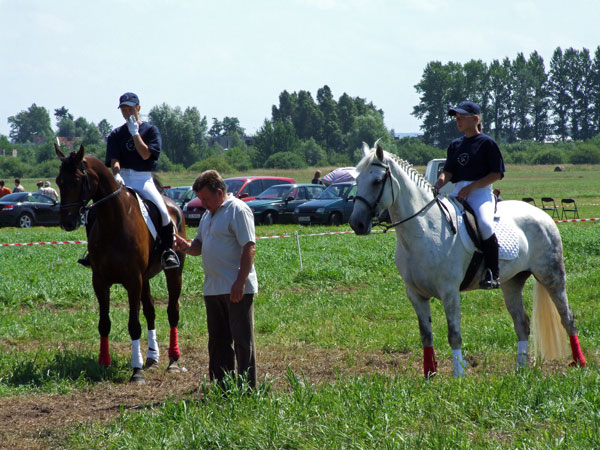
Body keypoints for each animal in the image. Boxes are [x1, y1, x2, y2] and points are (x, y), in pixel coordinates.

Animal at [56, 145, 188, 384]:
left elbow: (134, 325)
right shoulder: (100, 282)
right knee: (150, 311)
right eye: (58, 181)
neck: (114, 220)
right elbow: (104, 323)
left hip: (173, 273)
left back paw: (173, 360)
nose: (67, 222)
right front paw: (103, 362)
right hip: (145, 278)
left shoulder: (133, 281)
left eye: (77, 180)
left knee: (172, 311)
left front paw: (136, 371)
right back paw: (152, 356)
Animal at [350, 142, 588, 378]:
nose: (356, 224)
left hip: (551, 277)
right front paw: (429, 375)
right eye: (357, 181)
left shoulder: (449, 291)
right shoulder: (415, 294)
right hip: (512, 282)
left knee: (567, 318)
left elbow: (454, 334)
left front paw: (458, 375)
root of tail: (543, 215)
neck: (425, 229)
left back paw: (580, 363)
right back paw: (520, 369)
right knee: (522, 323)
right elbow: (426, 335)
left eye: (377, 181)